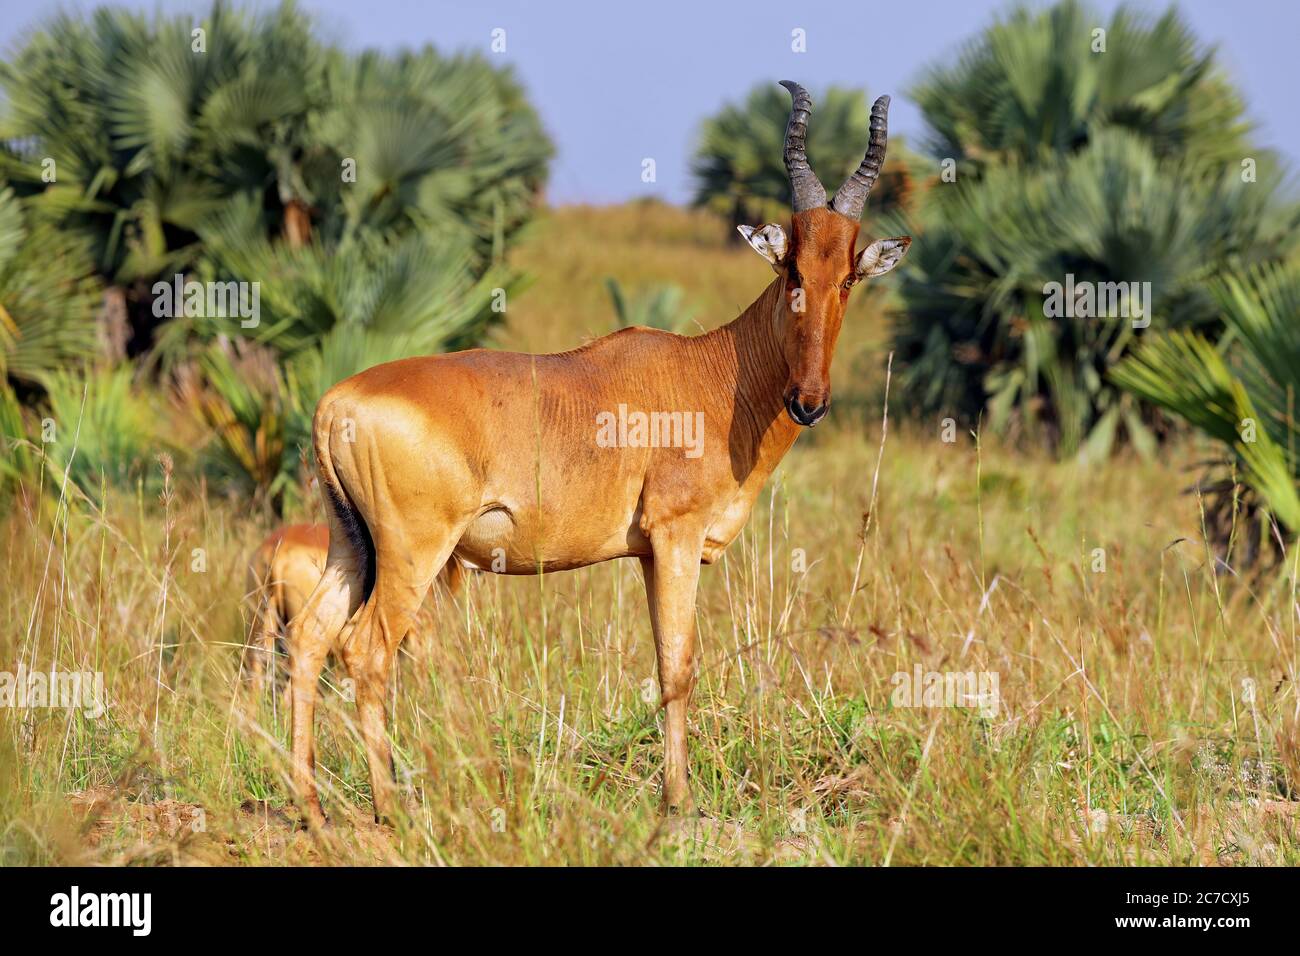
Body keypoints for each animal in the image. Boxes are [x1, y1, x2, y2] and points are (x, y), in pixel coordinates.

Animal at [289, 80, 909, 832]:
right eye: (790, 265)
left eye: (848, 275)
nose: (808, 401)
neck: (710, 371)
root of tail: (335, 401)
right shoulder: (676, 537)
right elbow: (679, 665)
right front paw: (680, 802)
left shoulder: (646, 552)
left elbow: (662, 659)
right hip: (413, 552)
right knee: (366, 649)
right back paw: (389, 807)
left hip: (351, 546)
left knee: (309, 640)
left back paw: (312, 808)